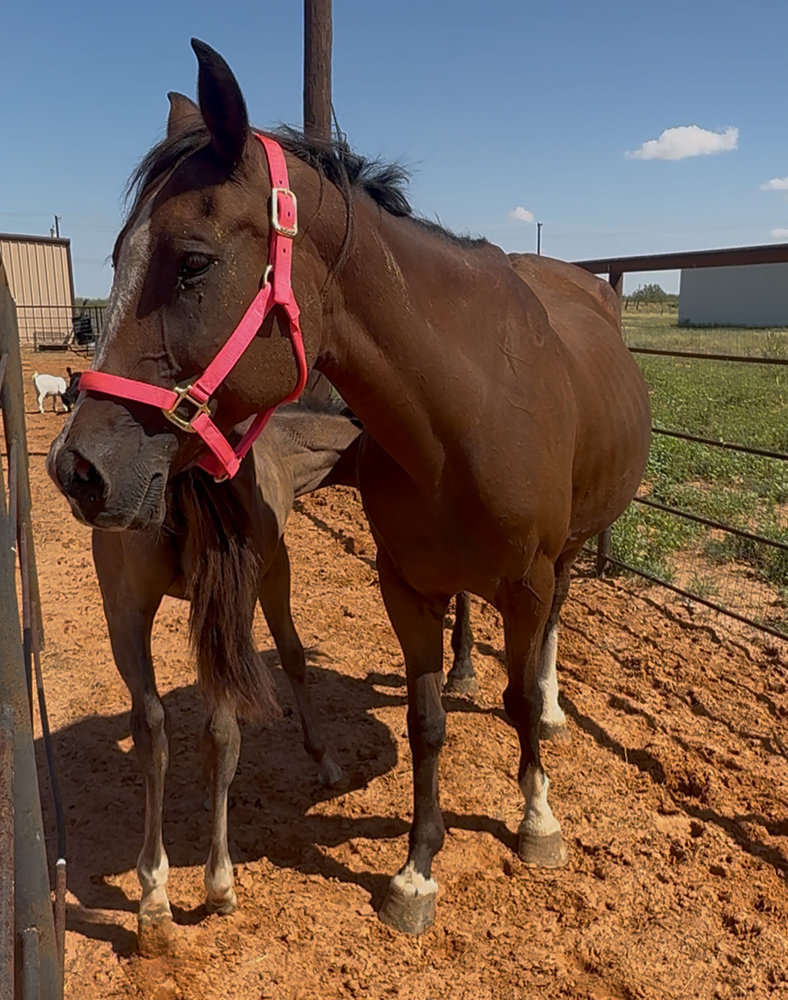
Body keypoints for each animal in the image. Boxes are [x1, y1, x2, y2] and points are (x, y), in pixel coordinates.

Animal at [48, 40, 651, 937]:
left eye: (191, 263)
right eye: (115, 259)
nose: (76, 469)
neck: (468, 403)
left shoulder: (527, 578)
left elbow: (512, 698)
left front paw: (538, 817)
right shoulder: (404, 583)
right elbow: (427, 722)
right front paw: (416, 870)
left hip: (568, 554)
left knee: (550, 633)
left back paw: (550, 708)